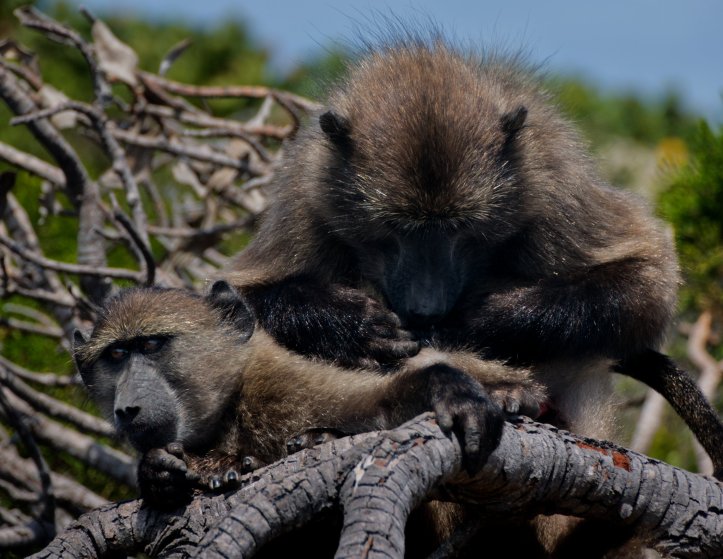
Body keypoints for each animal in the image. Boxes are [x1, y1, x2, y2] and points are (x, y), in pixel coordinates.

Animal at [224, 38, 723, 483]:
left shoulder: (550, 182)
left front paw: (478, 324)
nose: (425, 308)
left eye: (459, 230)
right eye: (395, 230)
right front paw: (356, 325)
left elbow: (648, 279)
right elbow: (235, 295)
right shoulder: (308, 192)